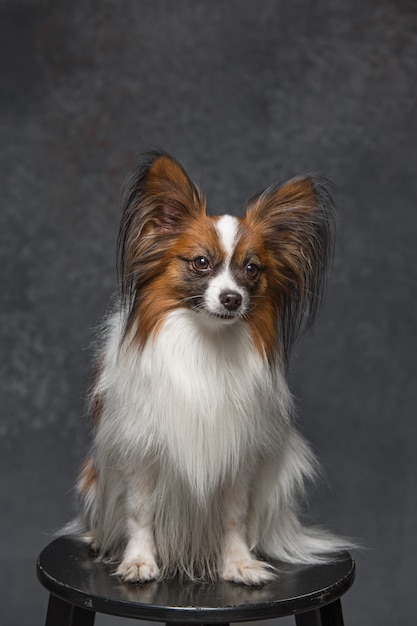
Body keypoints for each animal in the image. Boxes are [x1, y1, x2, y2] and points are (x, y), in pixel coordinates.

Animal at [70, 151, 348, 584]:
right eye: (201, 263)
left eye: (252, 269)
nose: (232, 298)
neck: (206, 342)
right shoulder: (141, 451)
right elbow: (140, 512)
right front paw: (139, 560)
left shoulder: (237, 457)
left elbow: (234, 516)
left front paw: (238, 563)